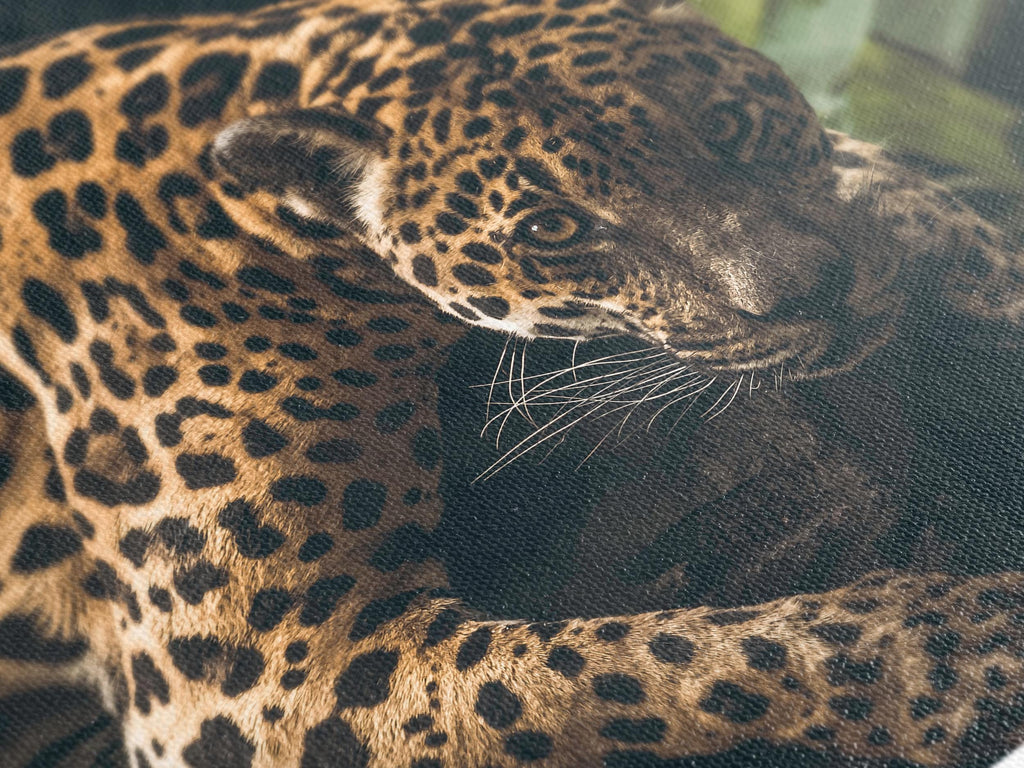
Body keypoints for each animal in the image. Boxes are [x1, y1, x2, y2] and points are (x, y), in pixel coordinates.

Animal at [2, 0, 1024, 766]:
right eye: (553, 229)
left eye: (728, 125)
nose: (813, 294)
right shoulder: (275, 676)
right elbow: (669, 662)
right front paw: (979, 644)